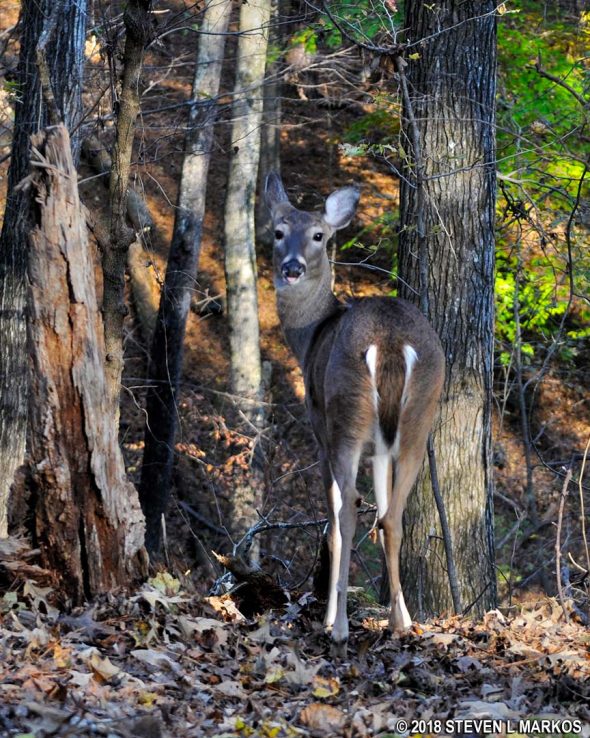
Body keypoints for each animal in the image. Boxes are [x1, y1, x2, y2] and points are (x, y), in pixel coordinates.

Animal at [264, 172, 445, 654]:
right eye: (278, 231)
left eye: (318, 235)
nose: (291, 268)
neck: (310, 338)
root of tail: (389, 342)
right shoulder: (380, 448)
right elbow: (382, 509)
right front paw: (398, 614)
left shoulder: (318, 429)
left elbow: (332, 520)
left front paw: (329, 616)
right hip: (418, 419)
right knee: (393, 518)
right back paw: (401, 625)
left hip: (345, 417)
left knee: (346, 514)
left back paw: (341, 628)